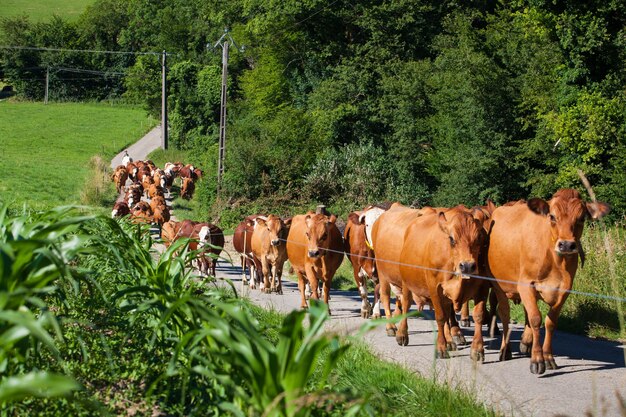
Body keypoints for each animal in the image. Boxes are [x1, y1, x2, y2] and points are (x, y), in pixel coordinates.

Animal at [486, 188, 608, 374]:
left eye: (581, 218)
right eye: (552, 216)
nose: (566, 245)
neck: (555, 261)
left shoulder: (565, 289)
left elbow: (550, 322)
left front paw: (548, 357)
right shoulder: (525, 284)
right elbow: (536, 319)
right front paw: (537, 360)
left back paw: (526, 343)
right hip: (499, 285)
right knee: (505, 313)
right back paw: (505, 350)